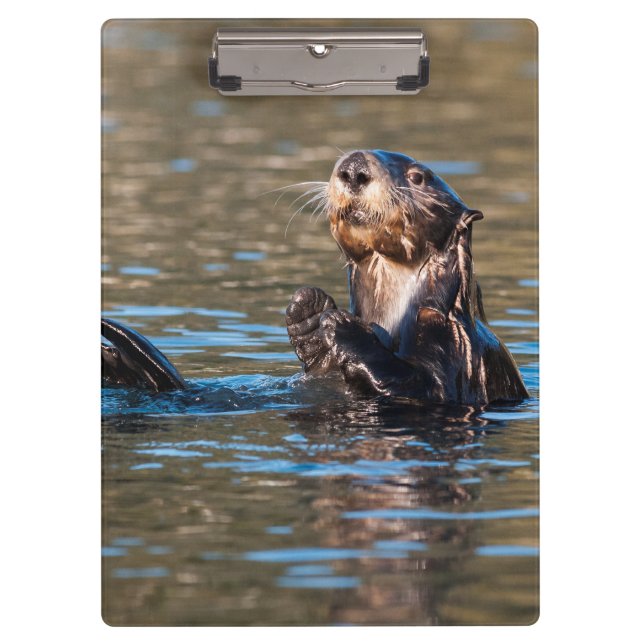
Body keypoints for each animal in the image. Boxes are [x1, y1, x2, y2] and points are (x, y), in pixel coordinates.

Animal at [285, 150, 528, 405]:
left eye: (417, 177)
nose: (353, 168)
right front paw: (308, 311)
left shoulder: (455, 346)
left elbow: (424, 386)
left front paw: (343, 325)